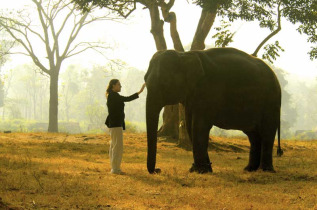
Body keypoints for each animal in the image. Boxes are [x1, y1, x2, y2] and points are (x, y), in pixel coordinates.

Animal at [143, 47, 282, 174]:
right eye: (145, 79)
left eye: (165, 82)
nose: (158, 170)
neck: (185, 55)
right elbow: (190, 125)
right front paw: (201, 170)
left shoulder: (208, 91)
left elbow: (199, 126)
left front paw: (201, 171)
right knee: (253, 135)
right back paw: (249, 169)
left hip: (271, 102)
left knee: (267, 132)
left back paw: (266, 170)